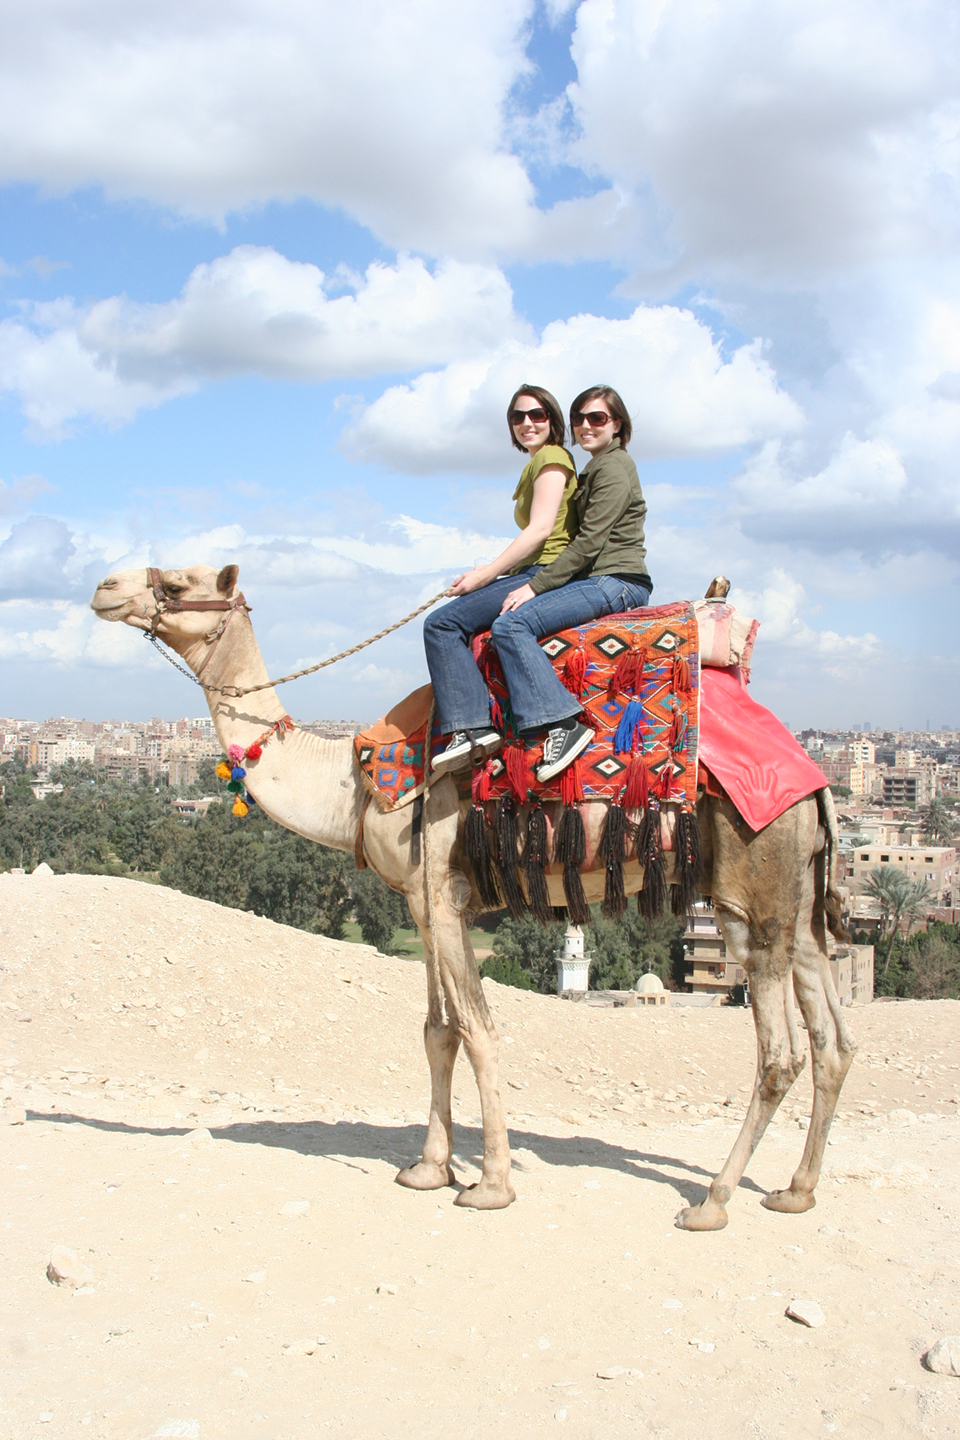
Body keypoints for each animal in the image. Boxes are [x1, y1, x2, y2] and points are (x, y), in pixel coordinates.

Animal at [90, 563, 857, 1229]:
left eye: (177, 582)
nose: (104, 586)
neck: (352, 785)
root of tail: (815, 778)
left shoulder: (444, 892)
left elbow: (479, 1030)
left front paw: (490, 1183)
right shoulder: (423, 901)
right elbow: (438, 1032)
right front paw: (429, 1168)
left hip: (749, 886)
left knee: (780, 1052)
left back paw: (713, 1200)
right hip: (800, 898)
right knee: (834, 1039)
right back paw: (796, 1190)